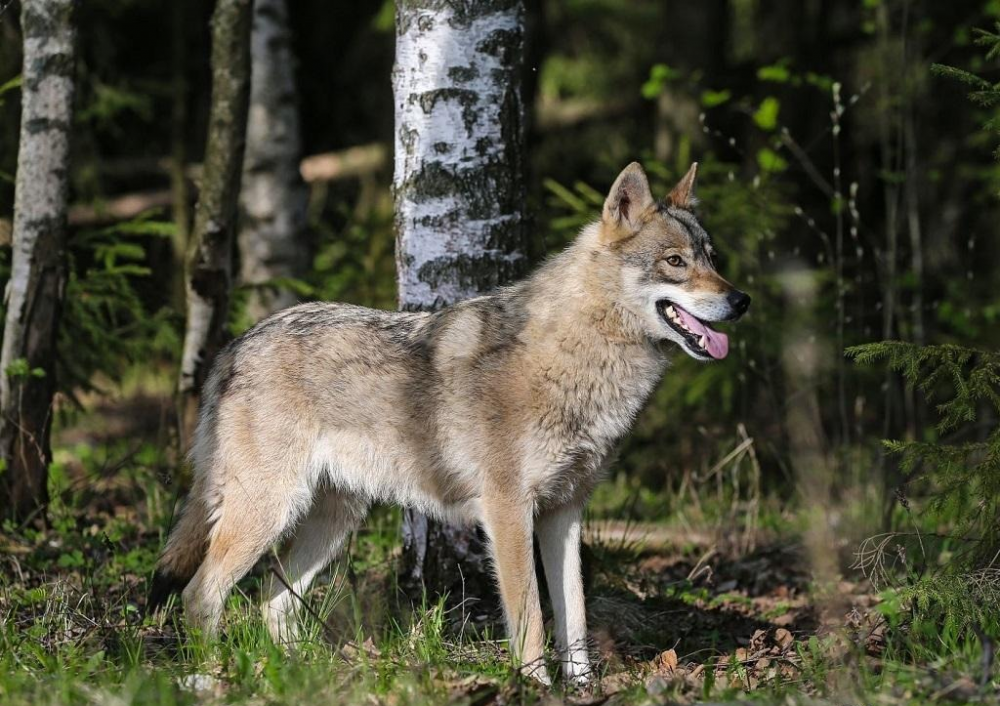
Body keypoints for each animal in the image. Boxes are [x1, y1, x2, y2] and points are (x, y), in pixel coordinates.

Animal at [150, 161, 752, 680]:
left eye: (711, 257)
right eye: (675, 262)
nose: (742, 300)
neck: (577, 356)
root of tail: (234, 347)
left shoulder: (565, 513)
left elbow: (574, 618)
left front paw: (581, 688)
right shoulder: (507, 511)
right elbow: (530, 622)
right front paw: (534, 686)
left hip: (332, 522)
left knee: (272, 601)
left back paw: (303, 677)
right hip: (270, 511)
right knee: (201, 594)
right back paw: (212, 677)